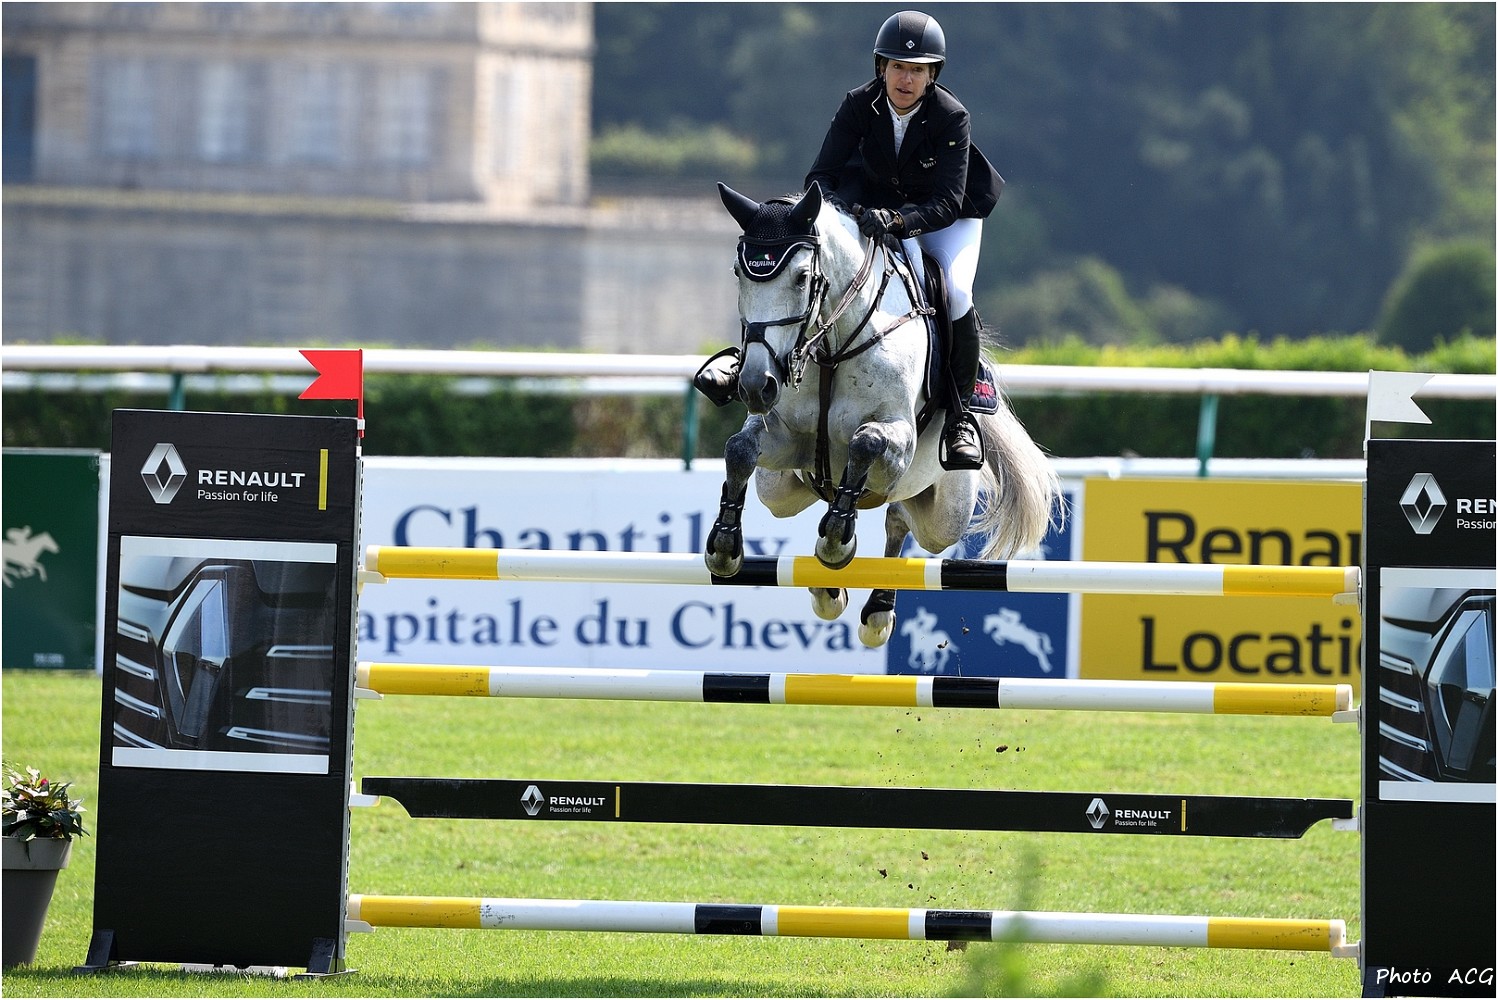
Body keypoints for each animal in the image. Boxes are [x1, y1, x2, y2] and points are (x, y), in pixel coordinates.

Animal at [703, 182, 1062, 647]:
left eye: (802, 278)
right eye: (738, 274)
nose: (755, 385)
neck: (832, 346)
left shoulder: (898, 440)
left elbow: (865, 441)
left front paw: (836, 543)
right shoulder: (786, 440)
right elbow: (739, 448)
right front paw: (724, 545)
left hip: (944, 513)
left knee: (901, 520)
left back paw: (874, 608)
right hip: (780, 490)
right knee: (847, 505)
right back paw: (828, 587)